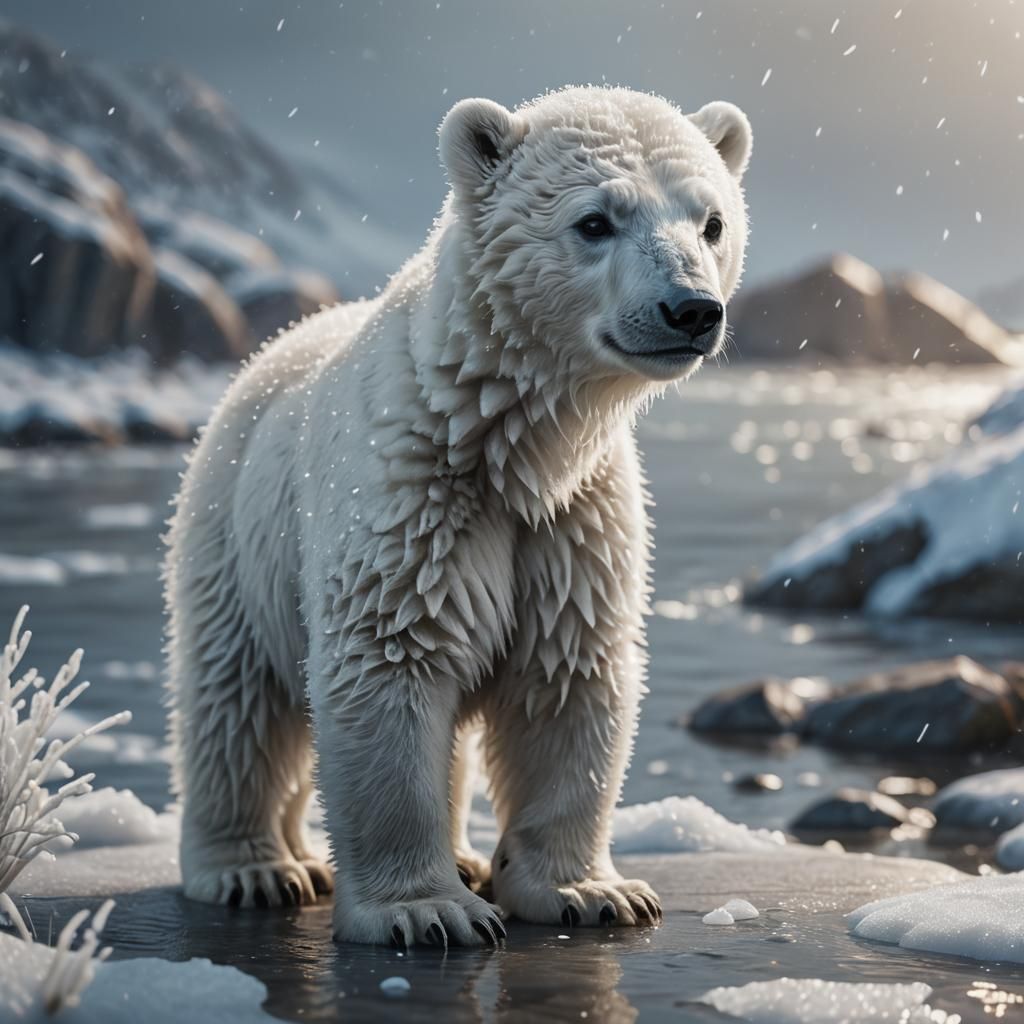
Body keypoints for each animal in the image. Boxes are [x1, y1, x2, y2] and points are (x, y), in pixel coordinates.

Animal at [164, 85, 752, 947]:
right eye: (595, 221)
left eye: (711, 221)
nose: (691, 310)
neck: (501, 437)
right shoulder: (409, 500)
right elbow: (390, 664)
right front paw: (425, 910)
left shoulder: (574, 522)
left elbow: (567, 680)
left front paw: (591, 892)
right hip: (234, 531)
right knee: (236, 701)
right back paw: (256, 868)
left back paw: (464, 859)